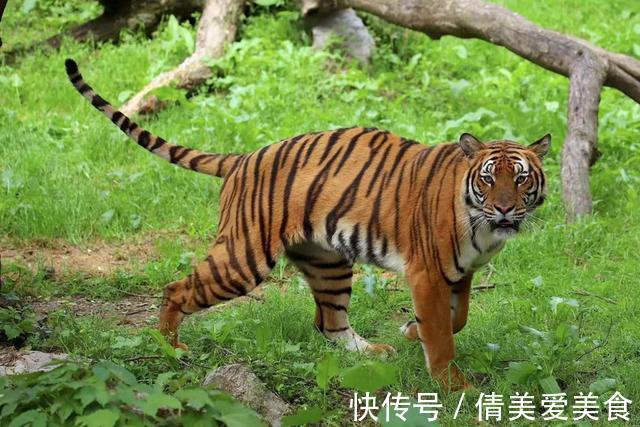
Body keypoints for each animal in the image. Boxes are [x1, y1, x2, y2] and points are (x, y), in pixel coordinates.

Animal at [65, 58, 550, 390]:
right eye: (488, 179)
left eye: (520, 178)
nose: (504, 210)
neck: (483, 228)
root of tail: (243, 157)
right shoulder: (428, 272)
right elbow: (444, 334)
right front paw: (453, 386)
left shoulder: (460, 273)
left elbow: (458, 319)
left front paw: (413, 332)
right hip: (243, 258)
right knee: (176, 289)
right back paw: (172, 346)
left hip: (328, 262)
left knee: (329, 324)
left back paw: (372, 351)